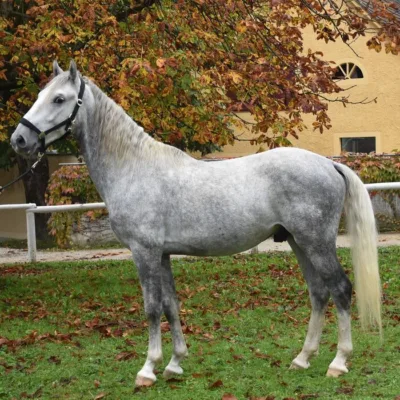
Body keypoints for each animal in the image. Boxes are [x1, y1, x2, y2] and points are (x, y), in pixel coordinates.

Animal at [10, 61, 382, 388]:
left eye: (59, 99)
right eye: (40, 95)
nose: (19, 140)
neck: (134, 167)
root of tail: (329, 164)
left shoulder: (144, 253)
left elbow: (151, 308)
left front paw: (148, 369)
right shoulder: (162, 254)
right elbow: (171, 306)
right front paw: (175, 363)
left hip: (316, 242)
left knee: (340, 289)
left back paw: (338, 362)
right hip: (297, 241)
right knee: (319, 293)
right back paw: (302, 358)